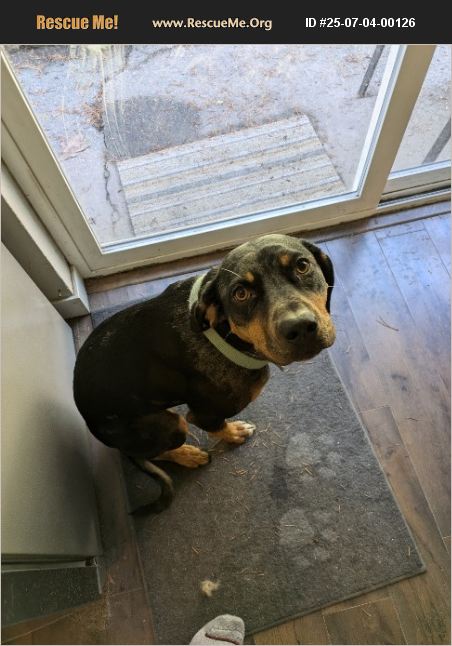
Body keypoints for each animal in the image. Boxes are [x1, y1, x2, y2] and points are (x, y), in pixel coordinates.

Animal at [73, 234, 335, 512]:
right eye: (240, 294)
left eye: (302, 266)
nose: (300, 327)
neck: (221, 330)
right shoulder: (204, 414)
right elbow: (218, 427)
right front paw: (234, 433)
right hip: (169, 425)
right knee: (156, 451)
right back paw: (188, 455)